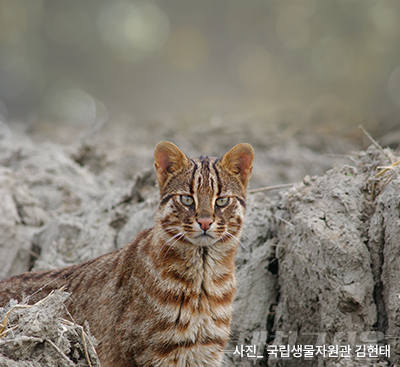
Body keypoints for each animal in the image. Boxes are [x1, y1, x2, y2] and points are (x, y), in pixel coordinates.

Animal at [0, 142, 255, 367]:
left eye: (222, 200)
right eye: (186, 198)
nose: (204, 222)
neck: (204, 275)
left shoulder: (206, 351)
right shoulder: (157, 352)